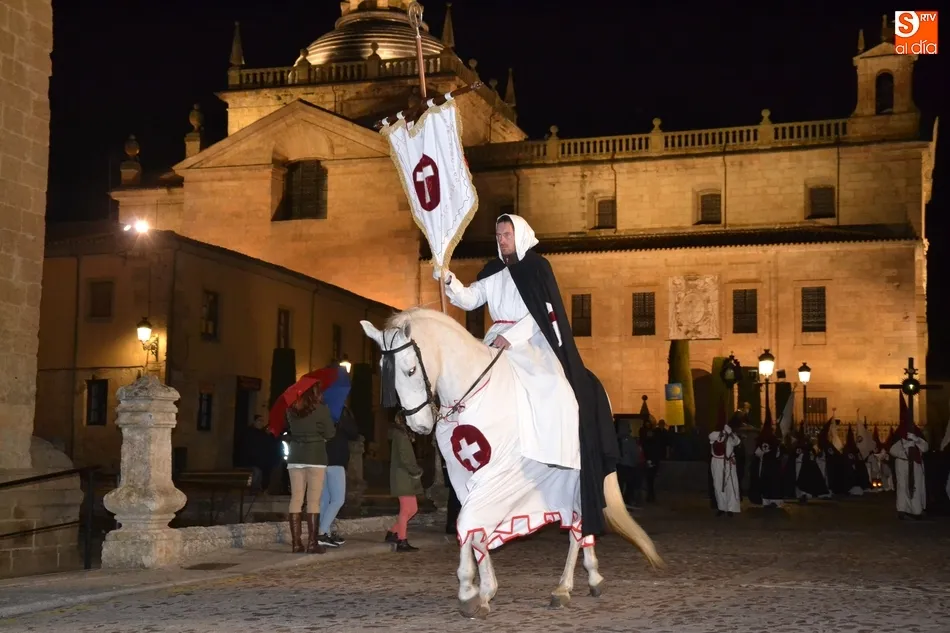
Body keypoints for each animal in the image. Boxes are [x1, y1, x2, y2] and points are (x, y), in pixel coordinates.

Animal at [361, 308, 662, 618]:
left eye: (410, 370)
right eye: (386, 374)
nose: (418, 426)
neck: (474, 392)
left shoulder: (497, 474)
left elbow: (468, 521)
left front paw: (470, 591)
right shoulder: (464, 477)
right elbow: (473, 527)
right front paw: (483, 590)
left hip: (581, 478)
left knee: (577, 528)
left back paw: (564, 587)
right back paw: (592, 577)